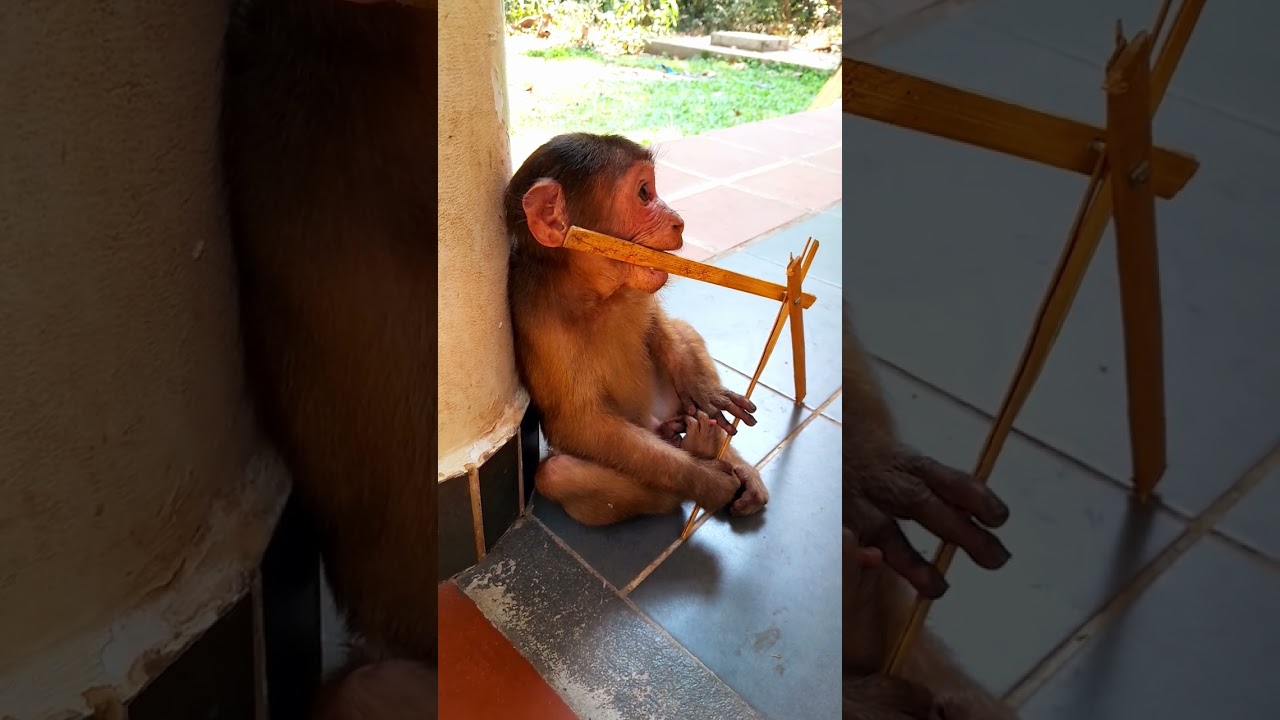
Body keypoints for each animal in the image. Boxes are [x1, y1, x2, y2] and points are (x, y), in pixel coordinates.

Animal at [504, 133, 771, 528]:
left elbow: (658, 323)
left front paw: (701, 387)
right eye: (645, 193)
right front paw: (705, 481)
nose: (678, 222)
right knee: (557, 474)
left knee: (683, 331)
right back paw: (695, 453)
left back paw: (728, 456)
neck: (595, 294)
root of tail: (658, 421)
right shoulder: (538, 320)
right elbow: (579, 423)